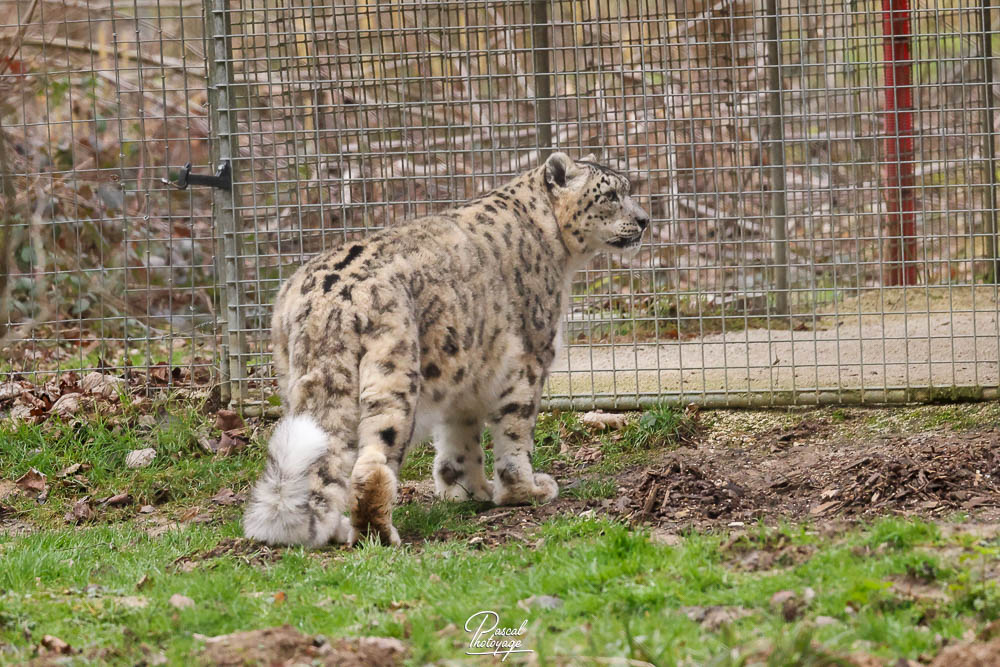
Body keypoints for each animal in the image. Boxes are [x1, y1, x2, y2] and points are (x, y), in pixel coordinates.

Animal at [243, 152, 650, 547]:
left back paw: (338, 529)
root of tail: (326, 301)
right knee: (372, 462)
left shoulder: (469, 370)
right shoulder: (532, 357)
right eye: (611, 194)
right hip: (394, 373)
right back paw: (378, 534)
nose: (645, 220)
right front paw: (526, 491)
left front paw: (466, 490)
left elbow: (461, 435)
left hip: (294, 377)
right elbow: (516, 434)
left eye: (626, 190)